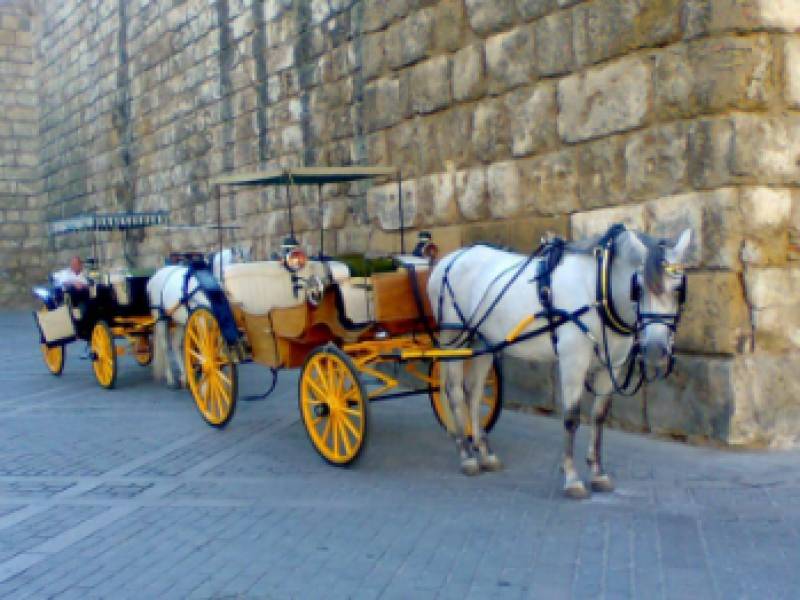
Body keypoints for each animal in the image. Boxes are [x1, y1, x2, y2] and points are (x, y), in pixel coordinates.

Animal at [148, 245, 250, 390]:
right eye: (236, 269)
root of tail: (156, 275)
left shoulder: (216, 323)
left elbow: (216, 350)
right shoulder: (201, 320)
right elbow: (204, 350)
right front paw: (206, 382)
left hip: (180, 322)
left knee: (175, 344)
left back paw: (184, 377)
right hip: (161, 318)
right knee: (165, 346)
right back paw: (171, 379)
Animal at [428, 227, 692, 500]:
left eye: (679, 290)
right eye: (637, 289)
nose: (655, 350)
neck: (598, 291)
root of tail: (449, 260)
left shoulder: (613, 364)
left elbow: (599, 416)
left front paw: (598, 473)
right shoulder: (572, 360)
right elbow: (571, 418)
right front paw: (572, 478)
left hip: (483, 342)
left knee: (474, 393)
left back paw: (484, 452)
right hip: (453, 339)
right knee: (454, 393)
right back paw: (466, 455)